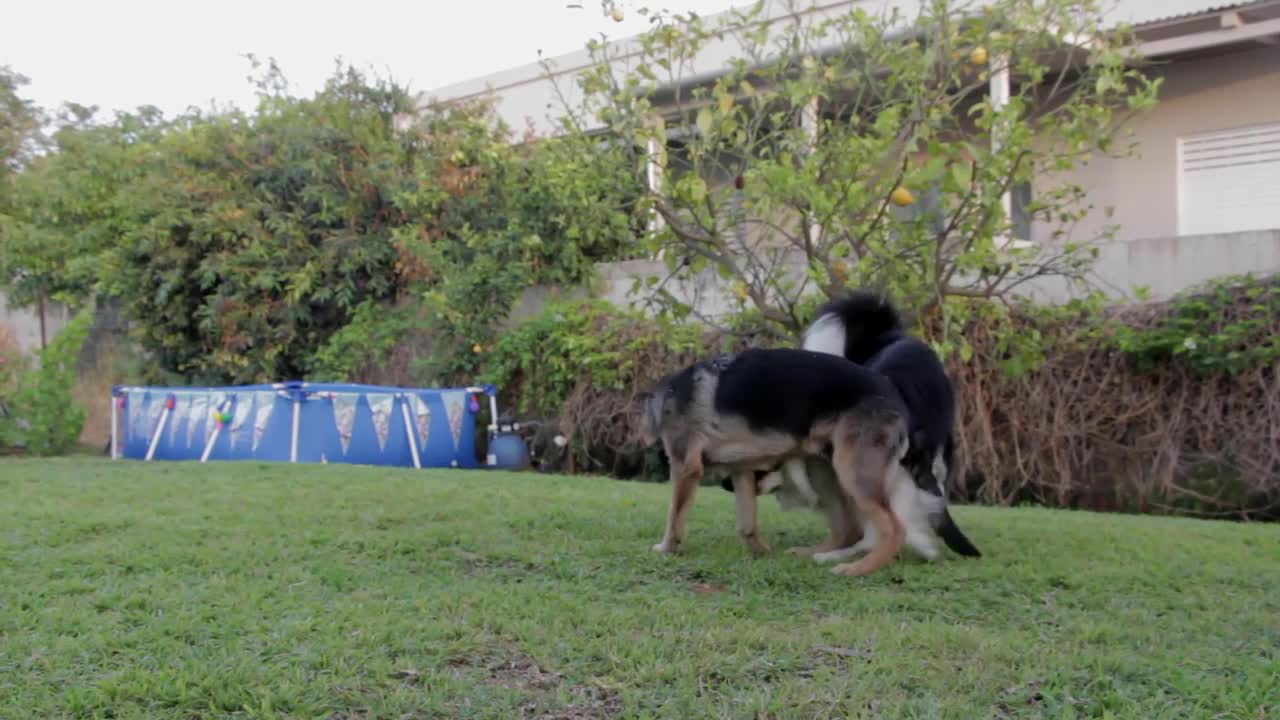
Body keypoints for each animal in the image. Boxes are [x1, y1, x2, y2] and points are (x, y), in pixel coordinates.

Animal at [640, 345, 921, 573]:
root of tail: (894, 394)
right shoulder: (741, 470)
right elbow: (746, 524)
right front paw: (762, 552)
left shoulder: (684, 467)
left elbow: (674, 517)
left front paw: (666, 548)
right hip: (824, 469)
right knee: (849, 530)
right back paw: (811, 553)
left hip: (852, 472)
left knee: (893, 529)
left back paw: (858, 569)